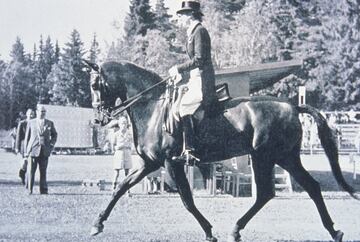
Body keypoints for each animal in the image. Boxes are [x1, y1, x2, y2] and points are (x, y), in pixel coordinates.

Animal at [86, 60, 358, 242]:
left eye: (96, 85)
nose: (99, 118)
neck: (152, 108)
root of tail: (292, 106)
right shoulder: (150, 164)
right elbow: (120, 188)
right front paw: (97, 224)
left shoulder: (171, 164)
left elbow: (187, 200)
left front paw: (208, 232)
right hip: (284, 158)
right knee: (305, 188)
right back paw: (333, 230)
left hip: (267, 157)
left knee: (270, 192)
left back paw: (237, 229)